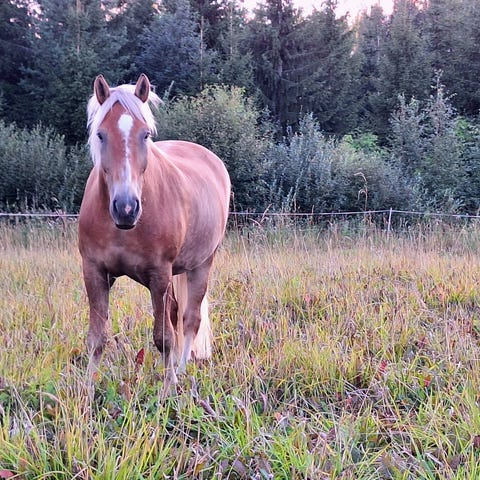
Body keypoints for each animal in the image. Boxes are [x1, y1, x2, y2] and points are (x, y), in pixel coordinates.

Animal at [78, 74, 231, 392]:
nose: (125, 208)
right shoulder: (94, 272)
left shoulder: (159, 275)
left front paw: (169, 388)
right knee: (175, 313)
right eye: (101, 135)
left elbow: (164, 337)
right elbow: (96, 339)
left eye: (145, 135)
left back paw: (181, 370)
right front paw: (86, 390)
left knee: (189, 319)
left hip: (201, 264)